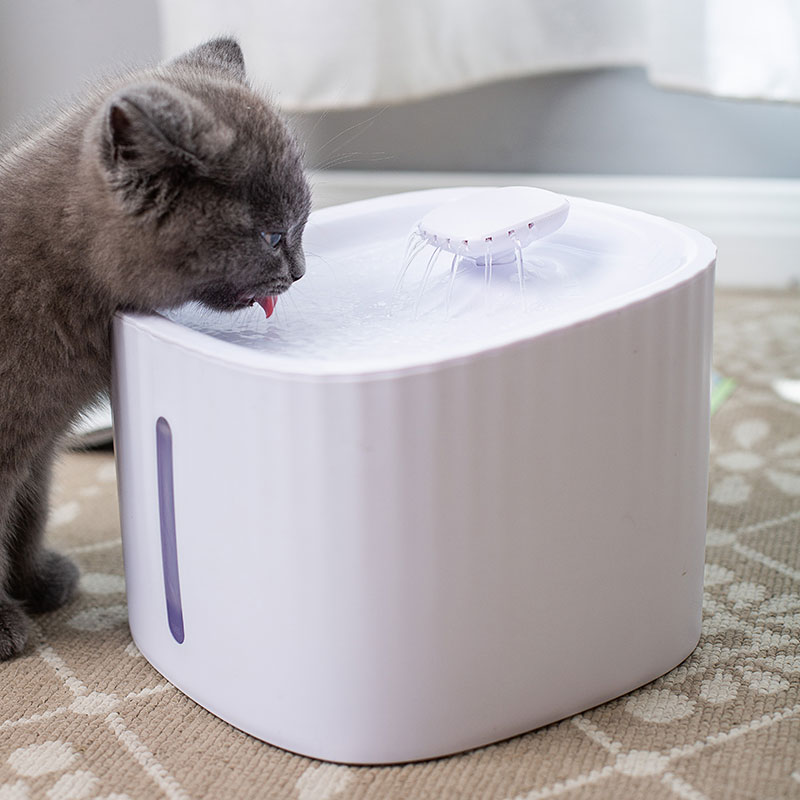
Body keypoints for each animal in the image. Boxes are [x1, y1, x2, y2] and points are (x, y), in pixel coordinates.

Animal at [0, 37, 310, 660]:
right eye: (273, 236)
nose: (300, 271)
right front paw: (2, 626)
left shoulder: (38, 447)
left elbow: (31, 512)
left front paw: (37, 581)